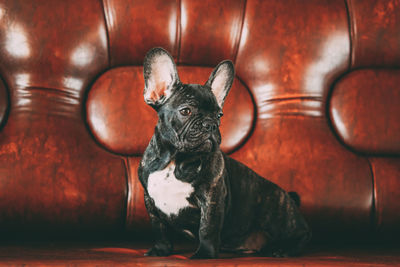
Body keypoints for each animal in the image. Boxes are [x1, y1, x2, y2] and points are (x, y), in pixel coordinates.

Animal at [138, 48, 312, 260]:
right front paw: (160, 250)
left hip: (276, 213)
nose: (210, 124)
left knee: (302, 233)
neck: (175, 160)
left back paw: (283, 249)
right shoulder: (150, 201)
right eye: (186, 111)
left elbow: (207, 228)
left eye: (218, 115)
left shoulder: (211, 197)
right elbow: (159, 229)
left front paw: (204, 255)